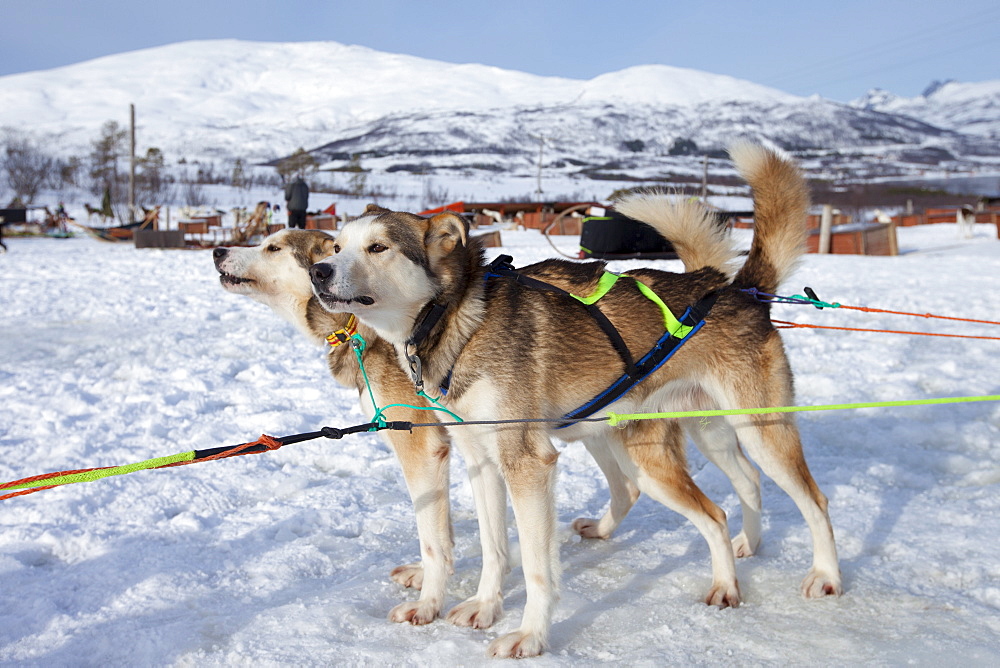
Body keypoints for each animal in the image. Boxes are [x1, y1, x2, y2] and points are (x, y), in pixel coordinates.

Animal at [308, 144, 840, 660]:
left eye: (378, 247)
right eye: (337, 246)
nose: (318, 270)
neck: (456, 318)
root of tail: (738, 290)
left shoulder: (527, 462)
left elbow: (537, 567)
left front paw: (529, 637)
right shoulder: (482, 458)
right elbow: (494, 547)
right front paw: (484, 606)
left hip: (755, 432)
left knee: (801, 501)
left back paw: (824, 576)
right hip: (709, 436)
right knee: (739, 491)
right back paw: (738, 564)